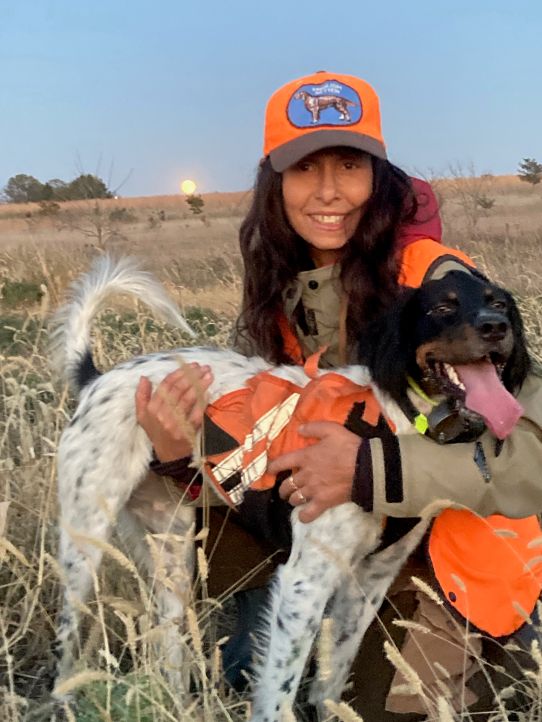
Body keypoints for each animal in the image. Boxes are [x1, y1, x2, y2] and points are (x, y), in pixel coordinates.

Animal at [50, 258, 528, 716]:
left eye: (499, 304)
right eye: (443, 307)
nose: (495, 327)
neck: (390, 427)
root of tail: (97, 379)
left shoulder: (368, 581)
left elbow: (329, 685)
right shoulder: (303, 582)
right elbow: (278, 692)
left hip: (172, 552)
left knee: (169, 654)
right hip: (84, 545)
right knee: (67, 653)